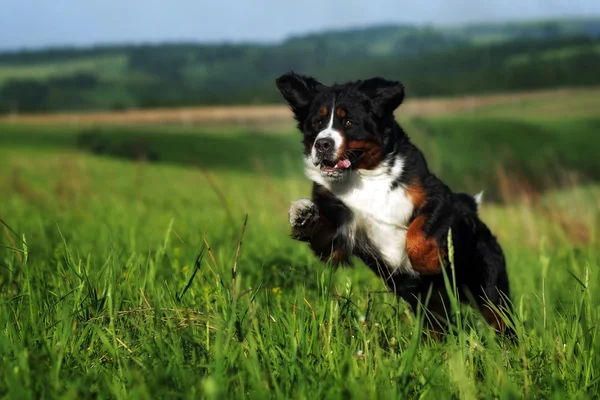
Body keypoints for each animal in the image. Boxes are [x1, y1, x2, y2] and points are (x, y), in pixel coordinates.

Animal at [274, 72, 512, 334]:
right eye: (317, 122)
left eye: (349, 122)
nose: (323, 144)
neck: (364, 177)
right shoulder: (339, 236)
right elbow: (324, 235)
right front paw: (302, 214)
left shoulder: (439, 198)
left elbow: (419, 235)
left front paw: (428, 264)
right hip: (433, 310)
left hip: (489, 290)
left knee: (502, 320)